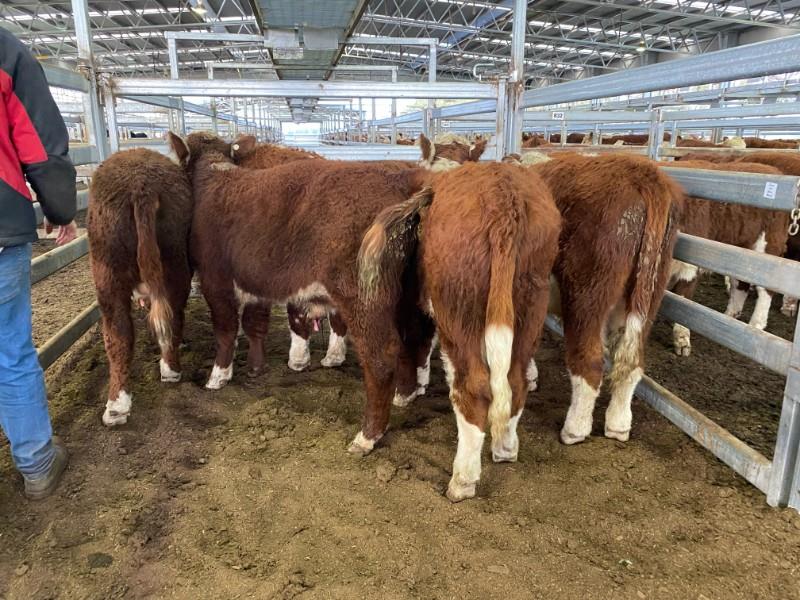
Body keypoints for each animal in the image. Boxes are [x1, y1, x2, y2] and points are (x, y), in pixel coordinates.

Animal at [359, 159, 561, 501]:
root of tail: (503, 197)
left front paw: (405, 394)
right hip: (531, 301)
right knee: (515, 380)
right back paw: (505, 448)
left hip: (459, 312)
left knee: (473, 388)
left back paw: (462, 480)